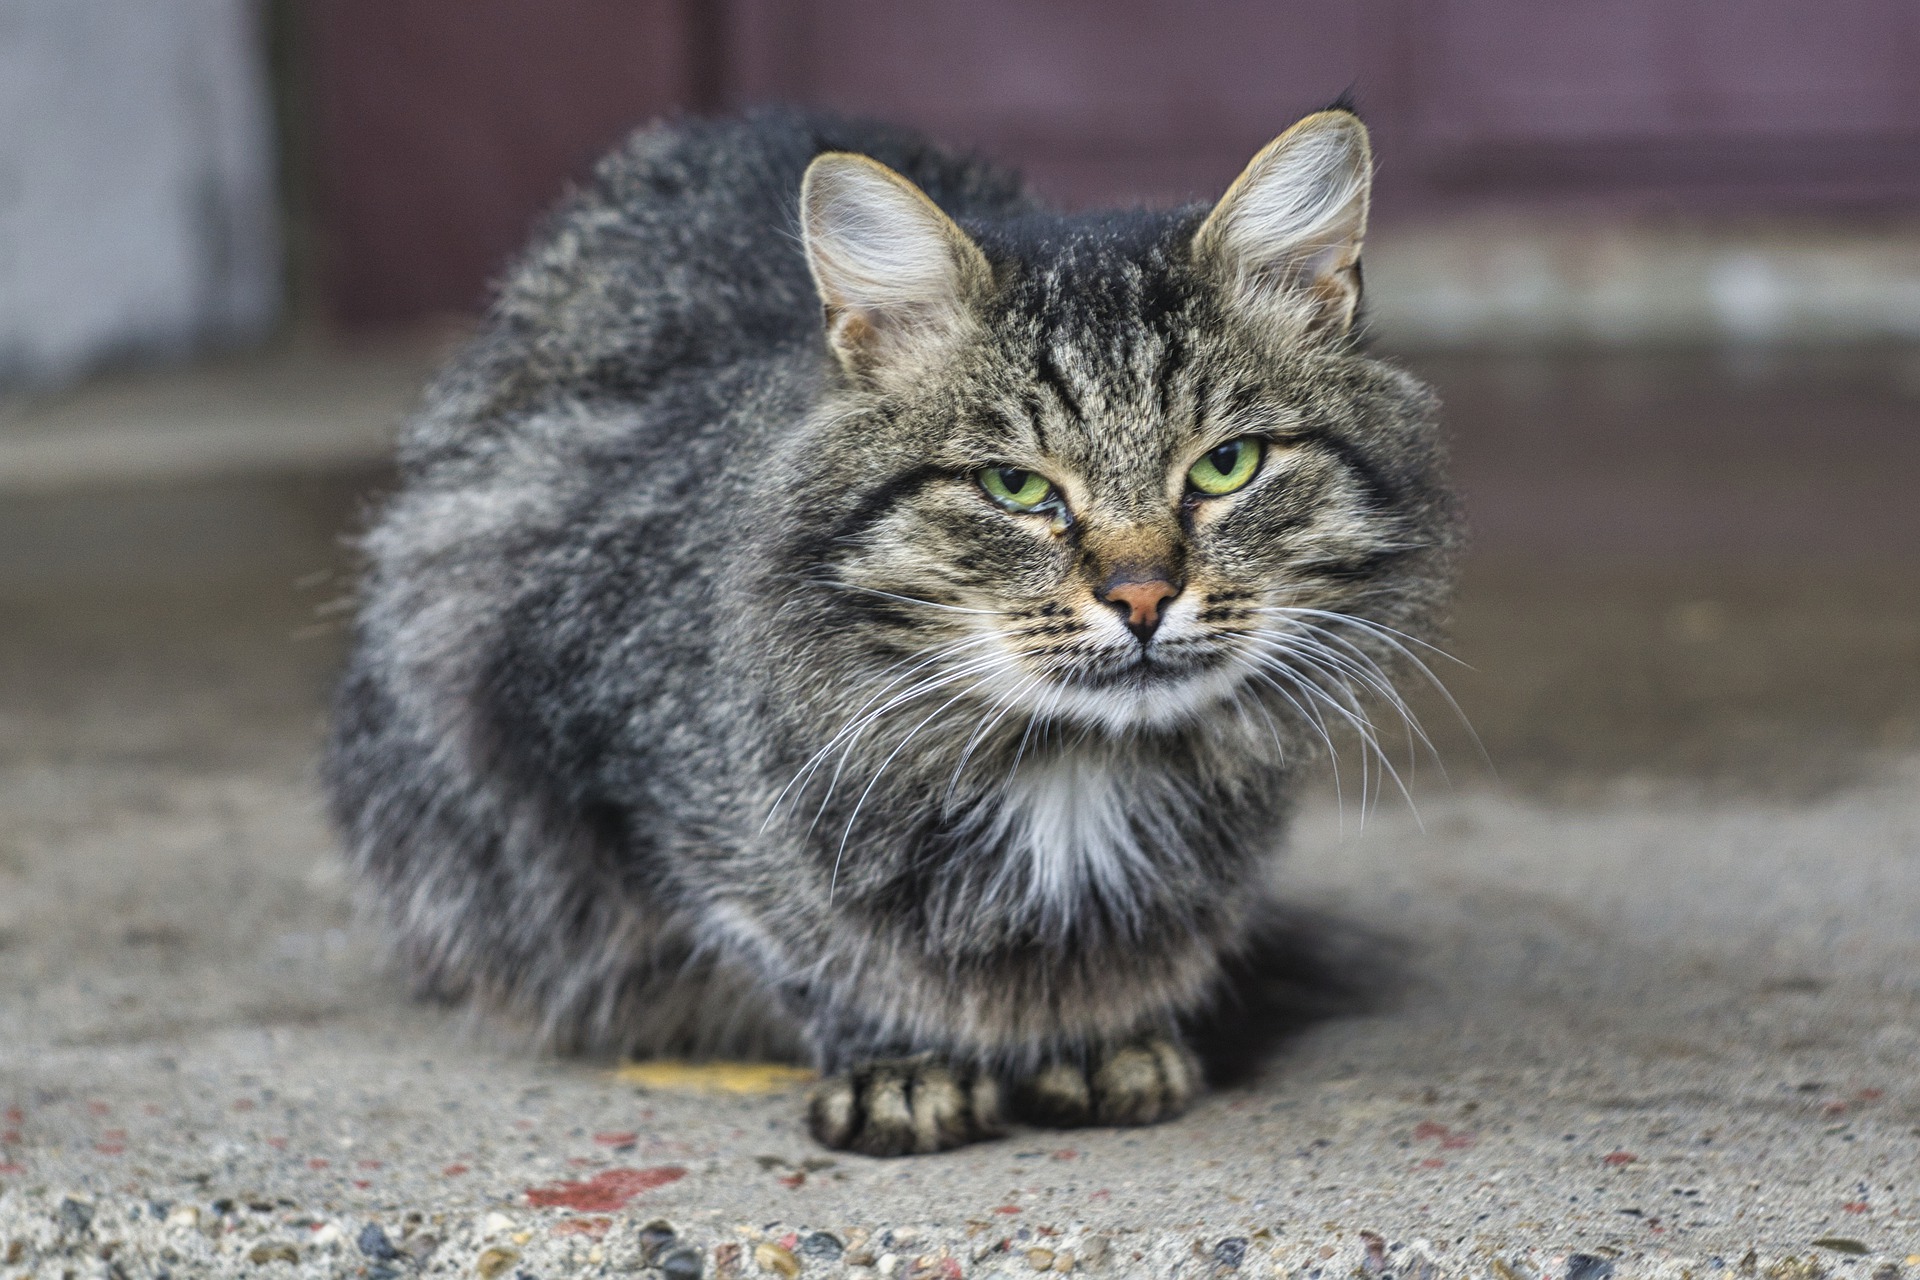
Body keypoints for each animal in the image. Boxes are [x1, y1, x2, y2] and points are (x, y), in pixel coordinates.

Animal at [326, 105, 1451, 1159]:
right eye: (1016, 488)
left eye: (1226, 466)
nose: (1141, 597)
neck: (1073, 774)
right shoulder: (578, 733)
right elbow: (789, 939)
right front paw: (899, 1061)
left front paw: (1101, 1039)